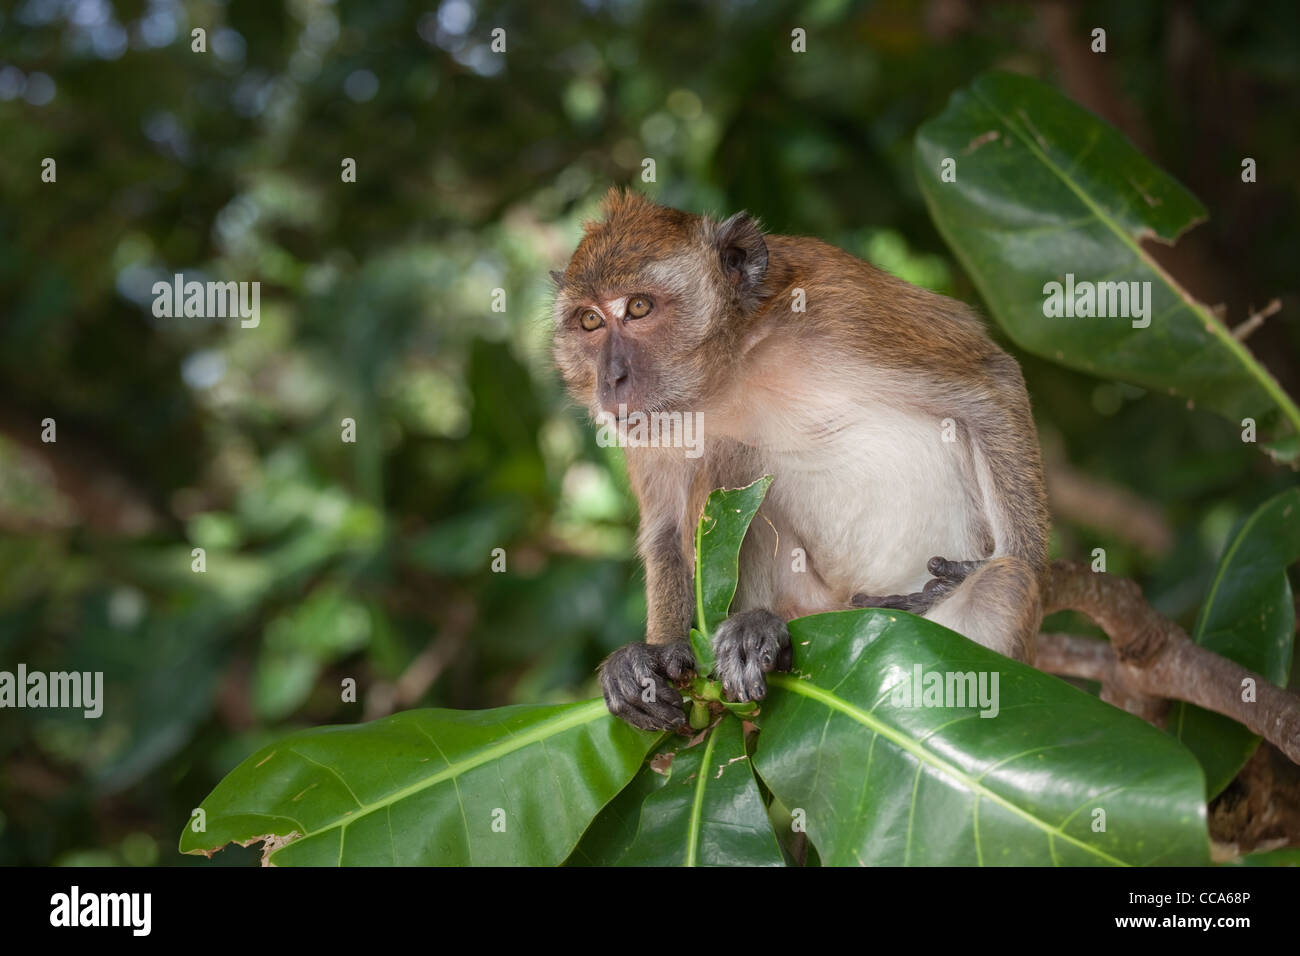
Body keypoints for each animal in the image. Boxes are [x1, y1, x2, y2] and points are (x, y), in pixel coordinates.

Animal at [548, 192, 1045, 733]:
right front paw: (654, 657)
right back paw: (763, 630)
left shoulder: (843, 310)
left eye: (638, 307)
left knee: (1003, 586)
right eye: (590, 321)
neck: (731, 367)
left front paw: (1012, 570)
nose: (611, 378)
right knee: (727, 456)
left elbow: (991, 388)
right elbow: (665, 531)